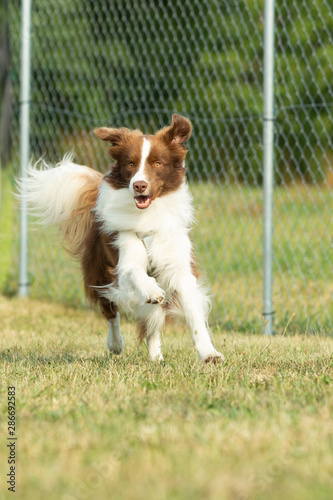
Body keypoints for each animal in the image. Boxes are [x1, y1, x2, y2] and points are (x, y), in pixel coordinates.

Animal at [21, 114, 223, 362]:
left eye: (157, 163)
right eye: (130, 164)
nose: (139, 185)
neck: (147, 216)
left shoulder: (178, 268)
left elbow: (194, 316)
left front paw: (209, 353)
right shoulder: (124, 256)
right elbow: (134, 271)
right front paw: (151, 290)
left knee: (152, 323)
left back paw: (156, 358)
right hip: (99, 272)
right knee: (110, 311)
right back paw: (116, 343)